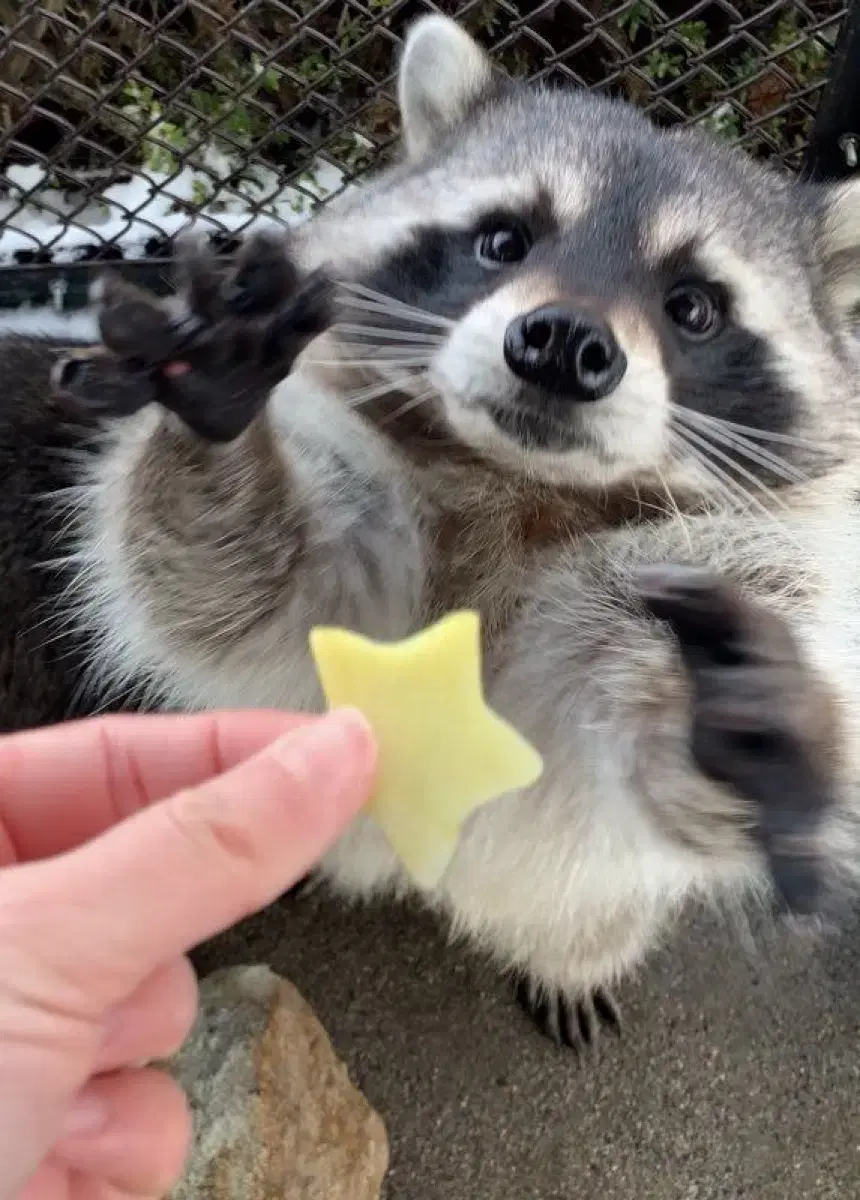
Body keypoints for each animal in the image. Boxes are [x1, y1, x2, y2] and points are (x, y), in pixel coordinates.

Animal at [35, 18, 860, 1051]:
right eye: (504, 238)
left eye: (695, 306)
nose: (563, 343)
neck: (522, 481)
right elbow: (227, 591)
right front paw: (220, 429)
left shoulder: (736, 566)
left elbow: (646, 756)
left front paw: (745, 717)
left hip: (576, 890)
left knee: (587, 911)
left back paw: (567, 958)